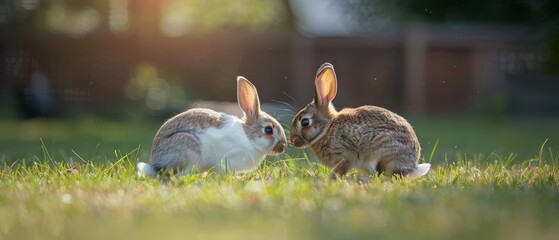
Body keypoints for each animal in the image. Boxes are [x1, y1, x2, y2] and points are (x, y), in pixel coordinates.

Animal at [138, 76, 286, 177]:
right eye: (268, 129)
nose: (283, 145)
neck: (249, 137)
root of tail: (157, 163)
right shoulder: (228, 159)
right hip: (189, 152)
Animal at [290, 62, 430, 178]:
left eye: (305, 122)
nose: (292, 140)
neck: (327, 128)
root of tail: (412, 167)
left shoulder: (345, 156)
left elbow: (341, 170)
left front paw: (332, 179)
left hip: (380, 154)